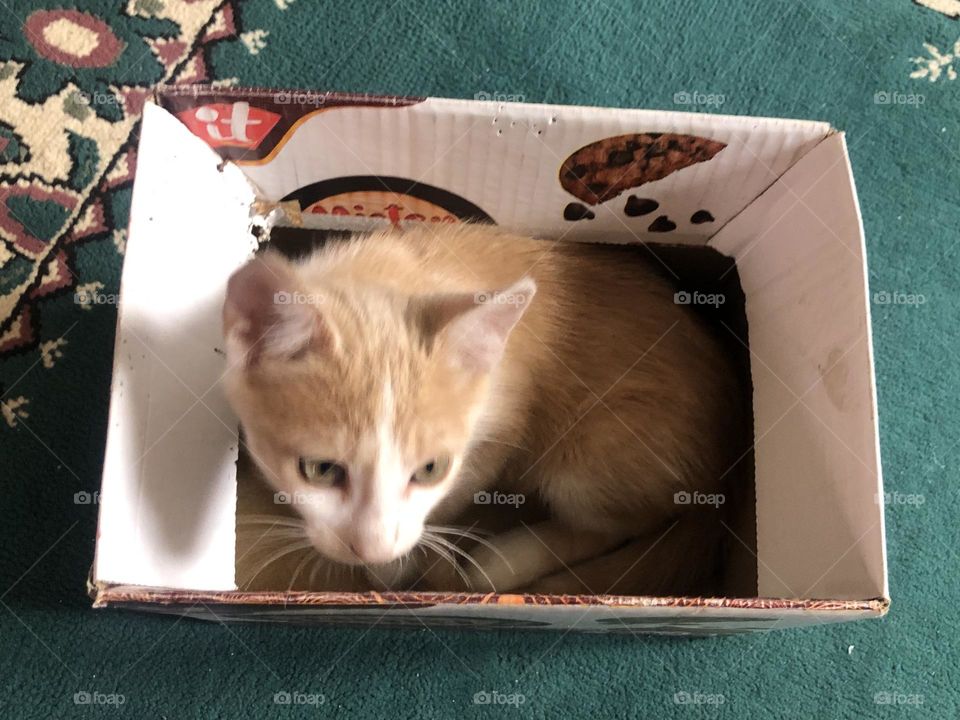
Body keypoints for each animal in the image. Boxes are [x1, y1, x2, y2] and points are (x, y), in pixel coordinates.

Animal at [221, 225, 748, 596]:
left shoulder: (505, 416)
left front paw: (399, 563)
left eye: (431, 469)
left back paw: (504, 561)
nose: (372, 547)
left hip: (601, 449)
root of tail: (725, 474)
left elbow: (463, 487)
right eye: (320, 469)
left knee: (619, 523)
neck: (395, 272)